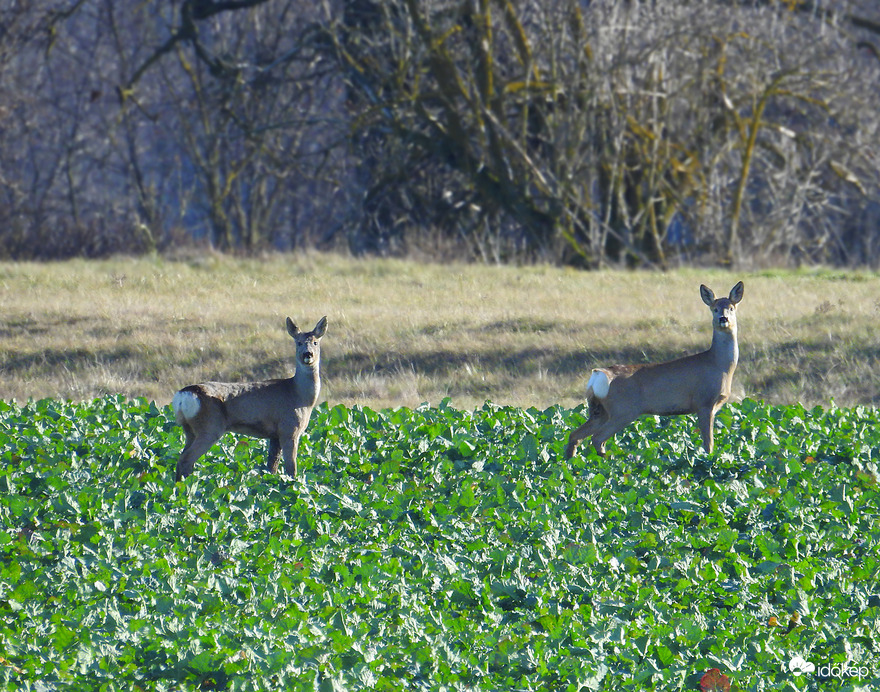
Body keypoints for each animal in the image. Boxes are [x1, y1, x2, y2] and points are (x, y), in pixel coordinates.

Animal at [171, 314, 326, 482]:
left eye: (315, 342)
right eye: (298, 342)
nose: (307, 354)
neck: (299, 395)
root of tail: (183, 396)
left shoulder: (274, 435)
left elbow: (271, 467)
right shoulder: (289, 429)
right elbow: (291, 469)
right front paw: (292, 484)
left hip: (189, 430)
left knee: (181, 458)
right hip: (210, 427)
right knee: (186, 459)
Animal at [564, 282, 744, 460]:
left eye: (731, 308)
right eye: (714, 309)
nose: (723, 319)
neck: (719, 365)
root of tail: (598, 374)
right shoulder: (704, 402)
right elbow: (708, 444)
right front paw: (709, 459)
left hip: (600, 411)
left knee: (575, 435)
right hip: (623, 410)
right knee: (597, 438)